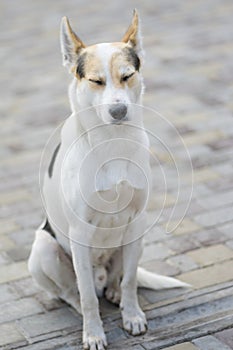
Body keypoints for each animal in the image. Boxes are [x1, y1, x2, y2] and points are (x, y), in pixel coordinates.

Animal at [28, 10, 188, 350]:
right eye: (96, 81)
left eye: (127, 76)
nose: (118, 111)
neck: (112, 143)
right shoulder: (79, 233)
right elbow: (89, 298)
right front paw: (93, 333)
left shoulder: (138, 221)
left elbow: (130, 280)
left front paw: (132, 315)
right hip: (44, 250)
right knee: (73, 292)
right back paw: (81, 305)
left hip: (136, 241)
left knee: (119, 277)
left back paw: (114, 292)